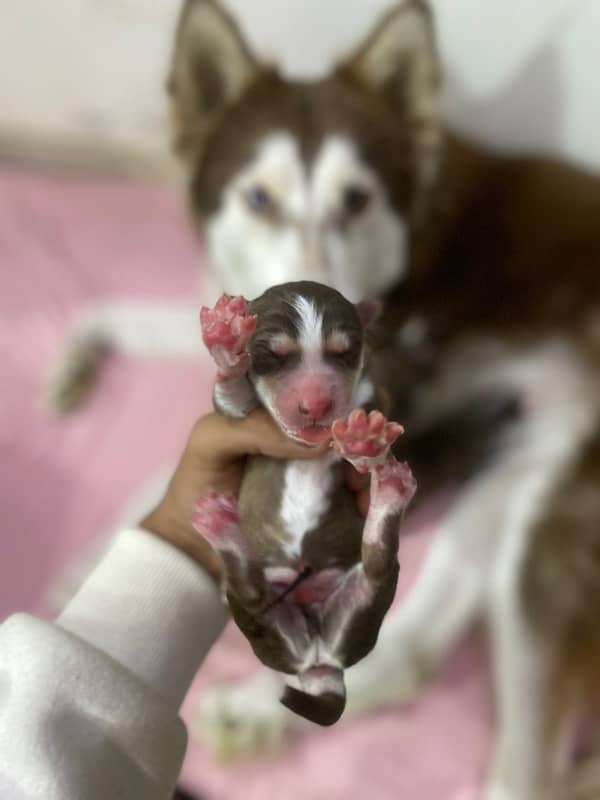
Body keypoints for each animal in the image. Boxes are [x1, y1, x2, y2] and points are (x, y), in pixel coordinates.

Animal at [195, 282, 414, 724]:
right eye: (274, 355)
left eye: (343, 352)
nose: (315, 406)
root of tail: (319, 662)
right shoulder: (241, 419)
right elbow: (231, 397)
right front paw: (226, 342)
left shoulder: (370, 398)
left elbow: (367, 449)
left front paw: (365, 442)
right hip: (263, 621)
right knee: (251, 593)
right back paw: (222, 530)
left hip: (360, 605)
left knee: (378, 567)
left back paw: (389, 492)